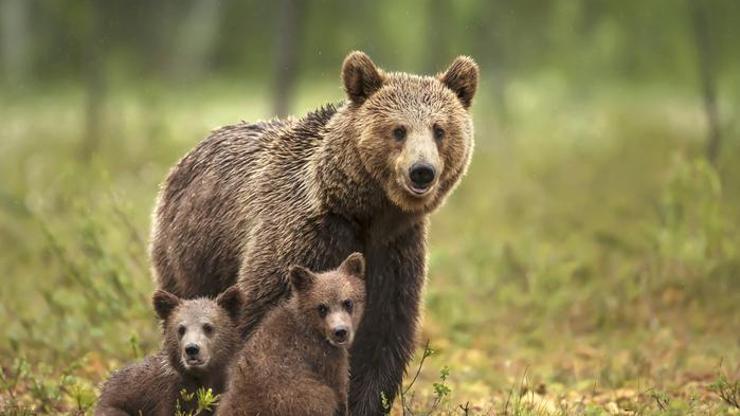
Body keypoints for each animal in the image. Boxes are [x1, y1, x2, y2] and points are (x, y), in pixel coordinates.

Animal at [150, 50, 476, 414]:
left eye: (439, 129)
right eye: (398, 130)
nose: (422, 171)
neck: (365, 212)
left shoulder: (395, 252)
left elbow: (382, 338)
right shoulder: (302, 238)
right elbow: (260, 320)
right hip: (190, 254)